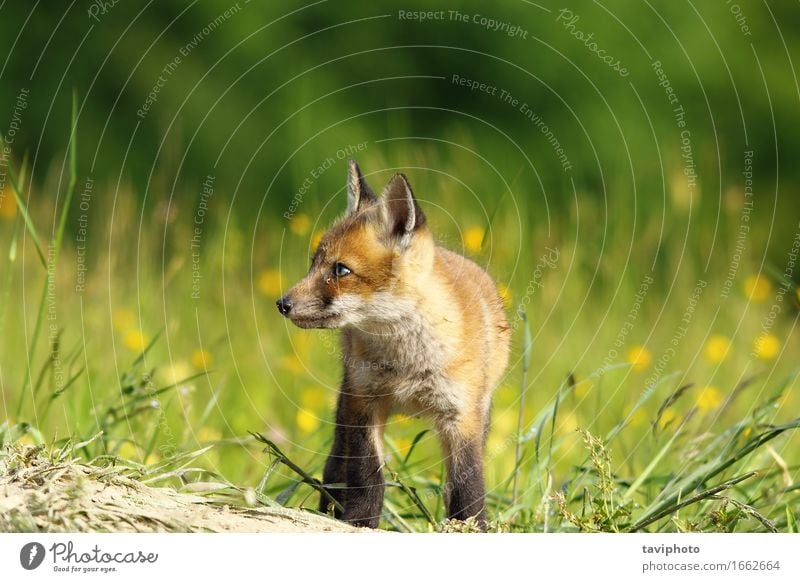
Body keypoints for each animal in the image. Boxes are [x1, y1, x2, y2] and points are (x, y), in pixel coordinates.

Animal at [278, 161, 510, 528]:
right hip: (346, 403)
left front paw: (469, 527)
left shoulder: (461, 416)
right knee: (336, 465)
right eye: (313, 264)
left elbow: (468, 485)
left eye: (341, 270)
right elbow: (366, 473)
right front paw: (359, 521)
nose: (282, 303)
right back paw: (328, 510)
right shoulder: (364, 402)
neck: (407, 364)